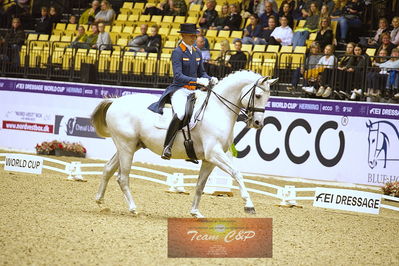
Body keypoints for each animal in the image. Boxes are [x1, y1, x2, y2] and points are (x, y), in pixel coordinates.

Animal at [91, 69, 278, 217]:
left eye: (268, 97)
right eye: (258, 95)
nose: (258, 123)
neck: (218, 109)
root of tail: (115, 101)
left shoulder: (209, 160)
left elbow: (200, 185)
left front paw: (195, 212)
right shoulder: (214, 153)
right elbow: (237, 173)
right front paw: (249, 205)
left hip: (129, 146)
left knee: (107, 169)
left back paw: (100, 202)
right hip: (126, 146)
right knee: (122, 177)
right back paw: (133, 208)